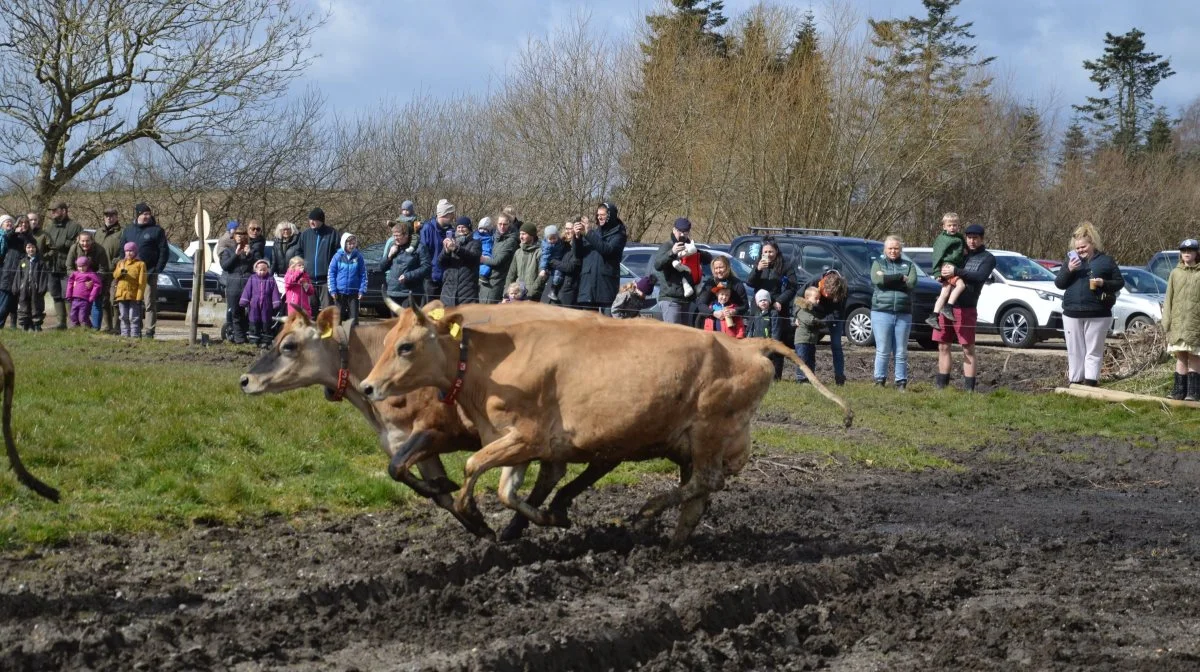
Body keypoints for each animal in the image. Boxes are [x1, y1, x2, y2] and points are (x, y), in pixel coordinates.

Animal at [240, 303, 609, 540]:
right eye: (276, 337)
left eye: (289, 344)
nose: (245, 379)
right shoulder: (404, 442)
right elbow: (427, 488)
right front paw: (475, 520)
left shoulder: (432, 430)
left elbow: (399, 469)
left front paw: (465, 505)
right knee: (554, 473)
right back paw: (528, 521)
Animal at [360, 307, 849, 549]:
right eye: (387, 341)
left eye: (406, 347)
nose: (367, 386)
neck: (488, 364)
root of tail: (746, 344)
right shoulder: (516, 442)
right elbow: (507, 490)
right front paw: (542, 518)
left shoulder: (528, 436)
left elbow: (472, 469)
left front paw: (474, 518)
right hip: (696, 442)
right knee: (698, 494)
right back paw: (672, 544)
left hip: (711, 430)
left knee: (706, 482)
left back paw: (648, 510)